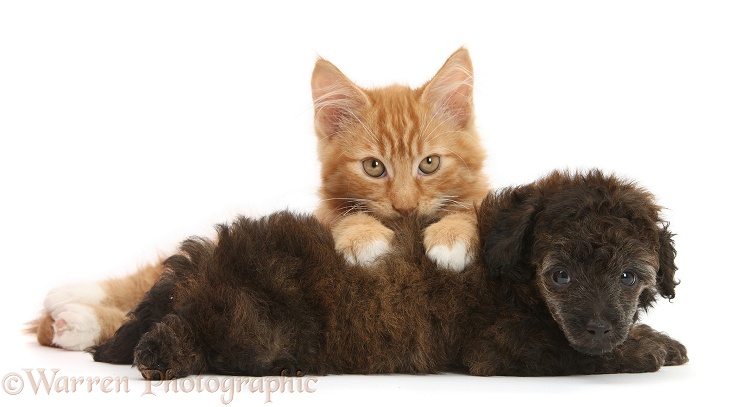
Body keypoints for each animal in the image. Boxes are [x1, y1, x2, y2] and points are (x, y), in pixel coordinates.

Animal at [27, 47, 488, 350]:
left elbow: (467, 209)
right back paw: (71, 299)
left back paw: (73, 319)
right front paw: (363, 237)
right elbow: (345, 217)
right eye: (374, 167)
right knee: (153, 285)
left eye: (429, 163)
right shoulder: (322, 220)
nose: (405, 208)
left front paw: (450, 237)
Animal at [91, 170, 684, 380]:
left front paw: (660, 338)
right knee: (196, 329)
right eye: (560, 276)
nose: (600, 327)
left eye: (628, 276)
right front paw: (643, 349)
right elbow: (567, 351)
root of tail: (203, 260)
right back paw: (158, 354)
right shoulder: (502, 344)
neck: (519, 276)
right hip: (252, 318)